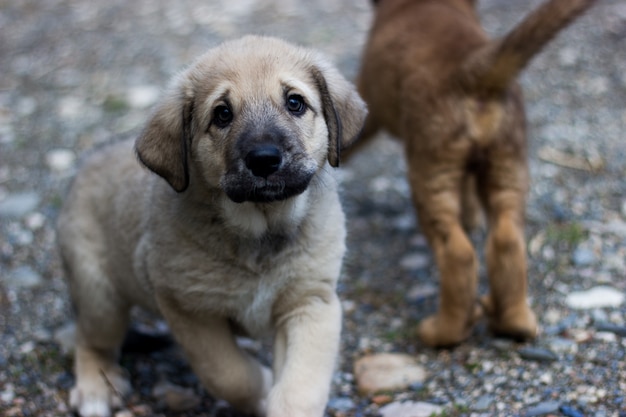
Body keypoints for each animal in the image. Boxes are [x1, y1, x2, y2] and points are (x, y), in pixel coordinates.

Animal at [57, 35, 366, 416]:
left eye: (295, 102)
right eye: (222, 113)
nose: (264, 159)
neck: (261, 233)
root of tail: (85, 167)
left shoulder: (311, 303)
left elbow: (300, 387)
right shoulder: (190, 311)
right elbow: (229, 374)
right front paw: (262, 387)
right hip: (99, 295)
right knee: (89, 341)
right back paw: (96, 387)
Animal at [356, 0, 596, 346]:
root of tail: (469, 71)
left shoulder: (366, 103)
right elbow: (468, 192)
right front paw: (471, 216)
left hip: (430, 175)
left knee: (458, 255)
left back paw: (443, 331)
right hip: (508, 168)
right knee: (507, 242)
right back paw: (514, 322)